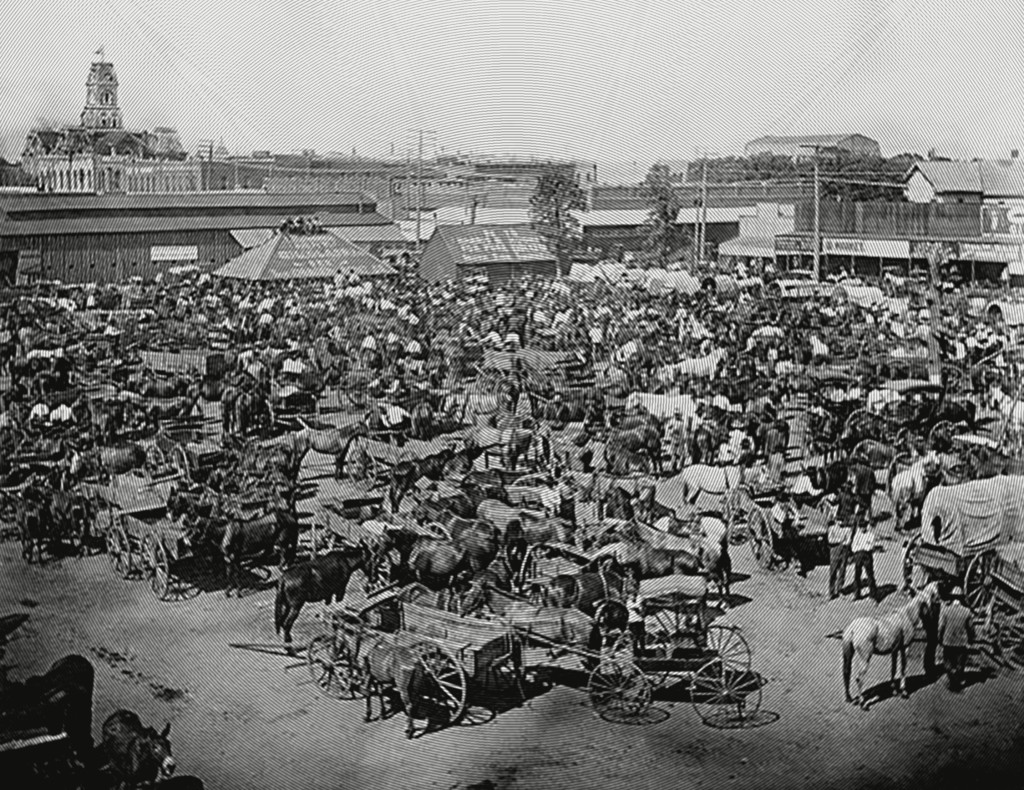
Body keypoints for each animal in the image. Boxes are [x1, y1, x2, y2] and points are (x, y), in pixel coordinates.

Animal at [839, 581, 942, 709]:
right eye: (931, 597)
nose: (940, 601)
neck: (908, 615)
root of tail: (852, 628)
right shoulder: (904, 647)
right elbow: (903, 668)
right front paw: (903, 691)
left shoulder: (894, 650)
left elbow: (893, 669)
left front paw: (894, 690)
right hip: (865, 657)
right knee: (859, 678)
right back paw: (862, 703)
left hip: (848, 654)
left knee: (846, 672)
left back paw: (849, 698)